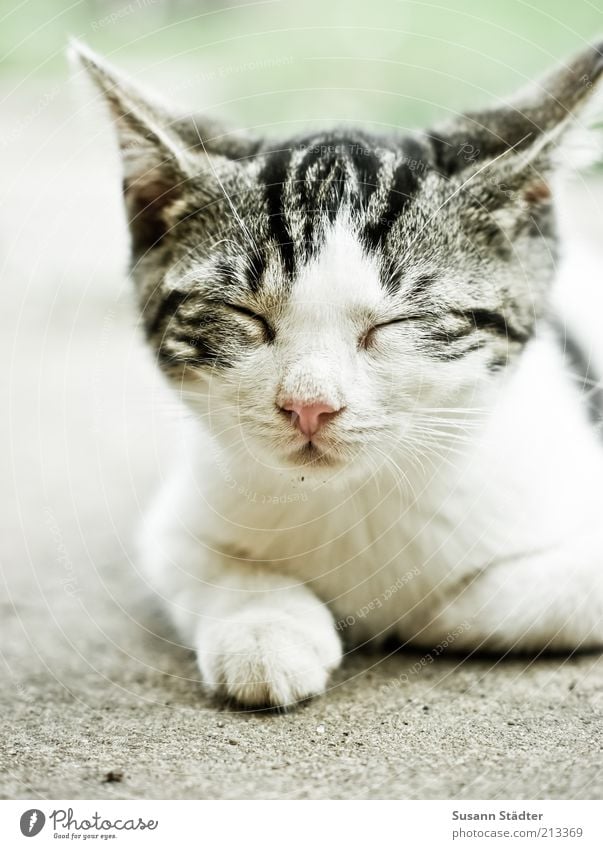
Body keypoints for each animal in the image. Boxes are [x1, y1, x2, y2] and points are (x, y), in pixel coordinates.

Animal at [73, 38, 603, 704]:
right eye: (244, 314)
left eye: (398, 321)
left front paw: (427, 611)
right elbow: (203, 559)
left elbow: (510, 597)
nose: (310, 405)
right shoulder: (180, 512)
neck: (353, 498)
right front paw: (265, 628)